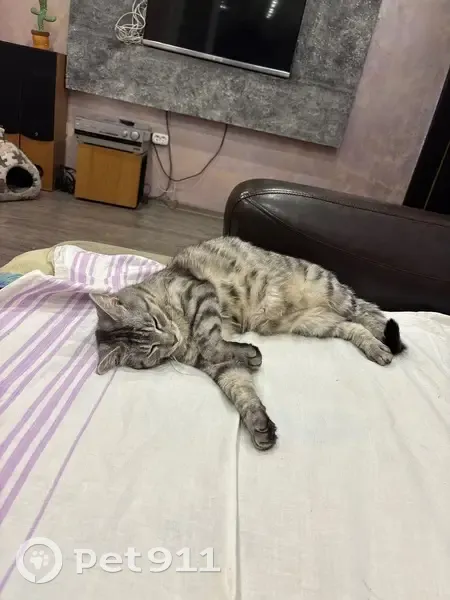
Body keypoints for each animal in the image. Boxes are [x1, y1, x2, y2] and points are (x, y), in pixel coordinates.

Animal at [91, 236, 405, 451]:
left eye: (155, 323)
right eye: (152, 350)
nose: (172, 339)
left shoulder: (200, 294)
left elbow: (211, 340)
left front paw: (251, 355)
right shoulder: (218, 367)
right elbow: (241, 391)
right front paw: (258, 424)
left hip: (334, 294)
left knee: (368, 314)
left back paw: (385, 343)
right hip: (313, 323)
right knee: (352, 327)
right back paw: (375, 348)